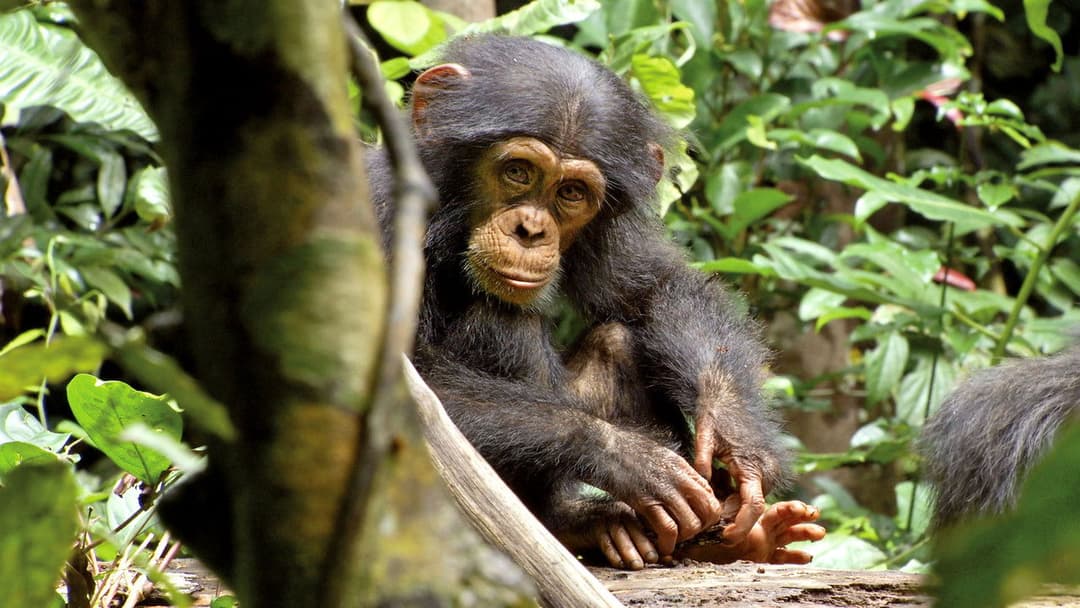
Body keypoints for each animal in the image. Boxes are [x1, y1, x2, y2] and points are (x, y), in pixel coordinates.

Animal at [367, 34, 824, 569]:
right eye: (517, 171)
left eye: (571, 192)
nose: (530, 229)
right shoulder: (378, 212)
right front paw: (628, 458)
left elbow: (655, 287)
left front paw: (737, 436)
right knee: (500, 318)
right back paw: (576, 523)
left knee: (618, 339)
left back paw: (720, 538)